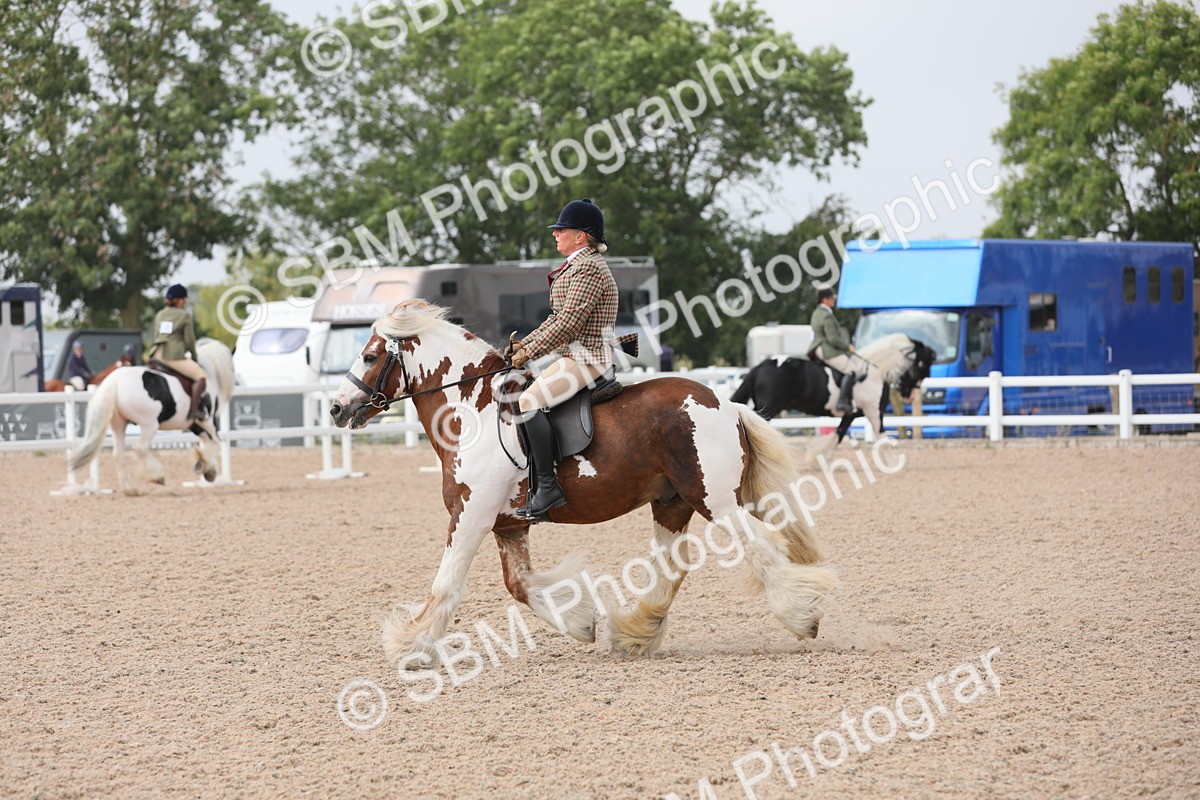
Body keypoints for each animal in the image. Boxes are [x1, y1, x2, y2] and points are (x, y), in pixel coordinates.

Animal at [67, 339, 235, 495]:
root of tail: (115, 380)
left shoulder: (194, 424)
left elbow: (207, 442)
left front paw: (205, 466)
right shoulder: (207, 421)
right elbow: (215, 443)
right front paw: (208, 469)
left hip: (119, 424)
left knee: (118, 454)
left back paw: (130, 489)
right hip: (150, 424)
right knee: (140, 448)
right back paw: (157, 476)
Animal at [329, 299, 837, 668]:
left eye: (370, 355)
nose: (336, 409)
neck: (473, 411)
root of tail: (726, 404)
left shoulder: (469, 515)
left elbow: (447, 584)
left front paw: (409, 647)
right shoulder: (508, 525)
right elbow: (519, 585)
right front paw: (581, 623)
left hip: (715, 501)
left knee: (760, 550)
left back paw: (804, 616)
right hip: (671, 502)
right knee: (672, 568)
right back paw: (634, 634)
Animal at [730, 334, 936, 445]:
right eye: (922, 364)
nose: (911, 395)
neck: (874, 371)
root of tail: (760, 366)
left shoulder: (851, 414)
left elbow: (837, 436)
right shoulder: (874, 412)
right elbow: (882, 437)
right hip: (769, 408)